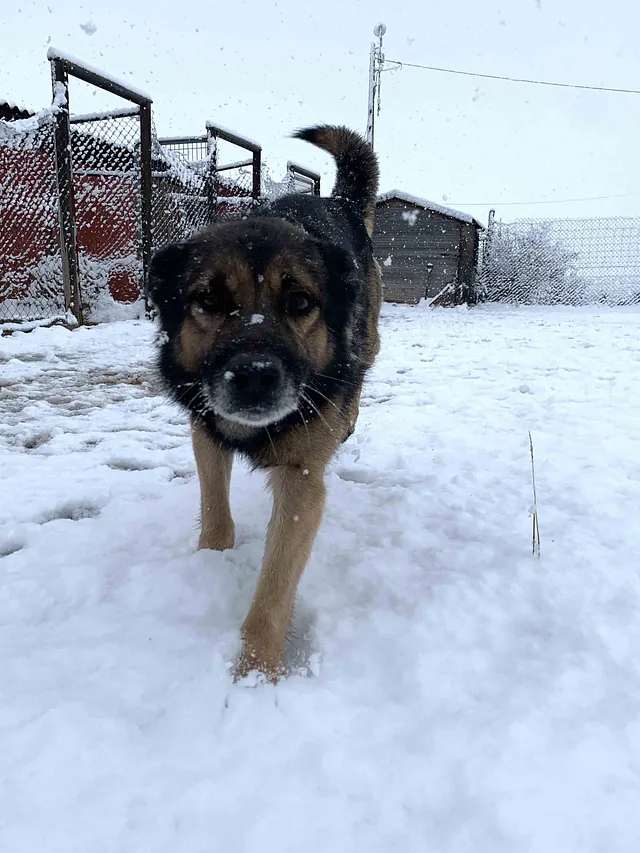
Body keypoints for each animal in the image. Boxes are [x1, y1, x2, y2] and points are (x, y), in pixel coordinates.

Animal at [149, 125, 380, 680]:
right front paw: (211, 561)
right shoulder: (206, 433)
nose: (254, 377)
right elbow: (215, 514)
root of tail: (339, 200)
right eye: (208, 300)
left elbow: (275, 588)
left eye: (299, 303)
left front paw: (256, 672)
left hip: (368, 339)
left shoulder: (301, 481)